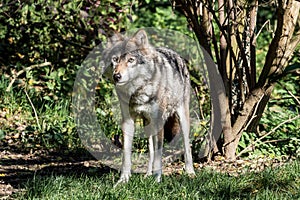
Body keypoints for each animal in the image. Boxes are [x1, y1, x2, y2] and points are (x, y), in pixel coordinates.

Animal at [102, 29, 196, 184]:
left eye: (131, 60)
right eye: (115, 59)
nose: (117, 76)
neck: (138, 91)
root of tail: (172, 52)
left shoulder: (159, 122)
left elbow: (159, 155)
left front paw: (157, 179)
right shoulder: (128, 122)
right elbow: (126, 156)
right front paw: (123, 180)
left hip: (182, 120)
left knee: (187, 146)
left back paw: (190, 172)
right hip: (147, 125)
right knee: (151, 150)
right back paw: (147, 174)